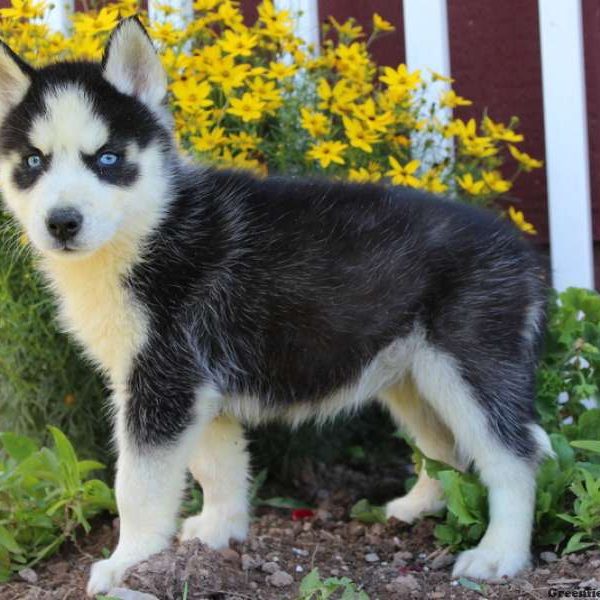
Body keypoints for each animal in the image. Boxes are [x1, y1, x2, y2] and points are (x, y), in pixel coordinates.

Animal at [0, 16, 552, 592]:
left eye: (107, 159)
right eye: (34, 162)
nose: (62, 222)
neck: (149, 228)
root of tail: (520, 247)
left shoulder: (165, 380)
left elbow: (137, 484)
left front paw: (129, 560)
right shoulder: (198, 386)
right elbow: (216, 465)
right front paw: (218, 530)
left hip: (468, 368)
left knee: (515, 454)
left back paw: (500, 554)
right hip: (411, 375)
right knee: (443, 449)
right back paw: (419, 505)